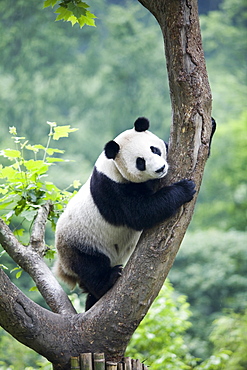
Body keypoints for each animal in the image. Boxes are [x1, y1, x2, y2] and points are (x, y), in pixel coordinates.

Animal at [53, 116, 196, 310]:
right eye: (140, 162)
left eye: (155, 149)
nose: (160, 169)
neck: (111, 164)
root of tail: (63, 268)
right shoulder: (112, 188)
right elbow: (140, 212)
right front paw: (184, 189)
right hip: (78, 243)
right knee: (91, 267)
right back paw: (109, 279)